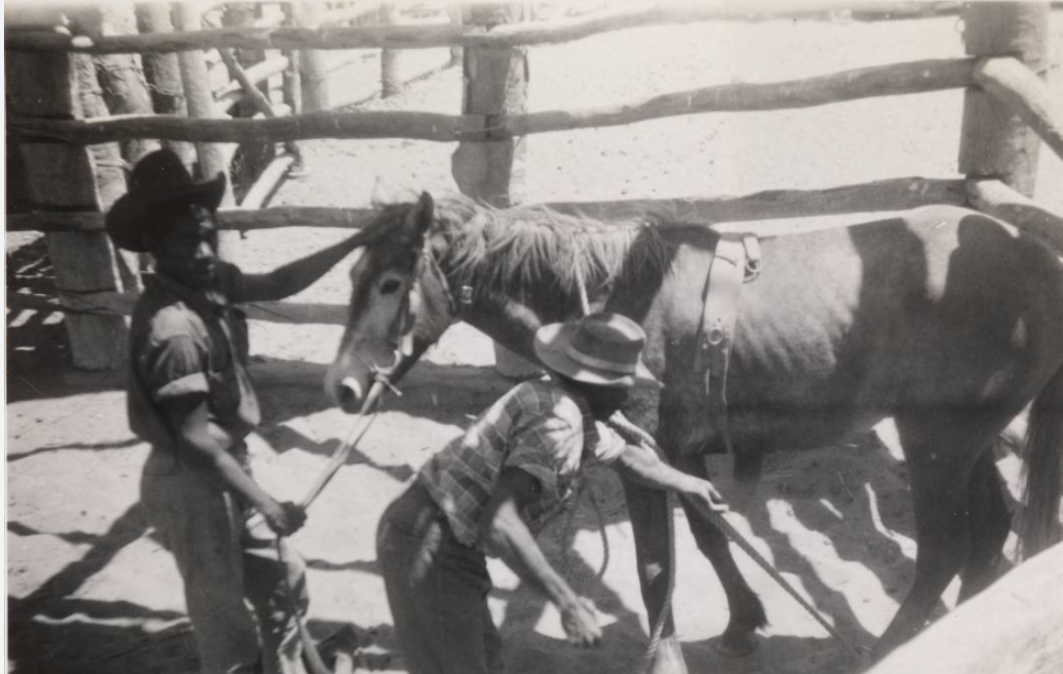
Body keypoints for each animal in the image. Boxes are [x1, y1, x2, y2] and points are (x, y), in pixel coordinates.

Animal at [323, 191, 1063, 667]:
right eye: (355, 274)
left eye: (390, 282)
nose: (343, 386)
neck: (610, 297)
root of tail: (1040, 260)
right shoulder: (676, 452)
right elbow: (708, 537)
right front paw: (742, 623)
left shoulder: (643, 455)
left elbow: (656, 567)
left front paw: (667, 655)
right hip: (967, 444)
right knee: (986, 538)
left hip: (938, 443)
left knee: (943, 552)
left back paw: (887, 651)